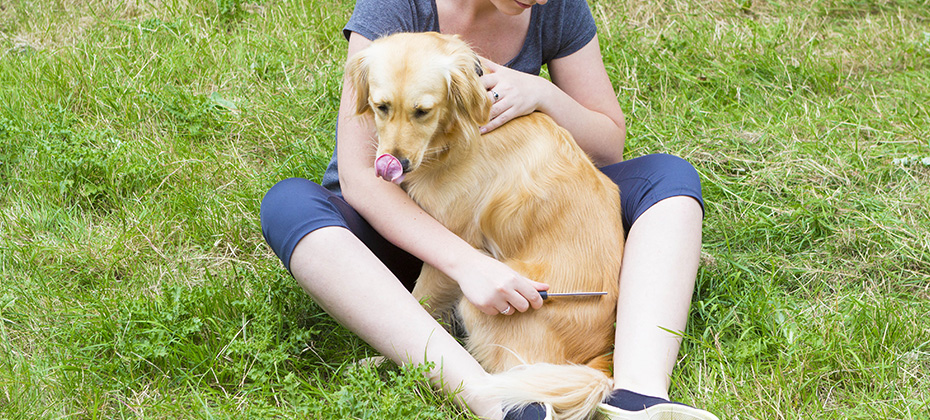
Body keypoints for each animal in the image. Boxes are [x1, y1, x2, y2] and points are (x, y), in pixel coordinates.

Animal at [346, 33, 624, 420]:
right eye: (381, 107)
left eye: (423, 111)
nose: (395, 163)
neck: (460, 130)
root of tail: (598, 362)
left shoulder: (451, 246)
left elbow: (418, 305)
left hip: (481, 304)